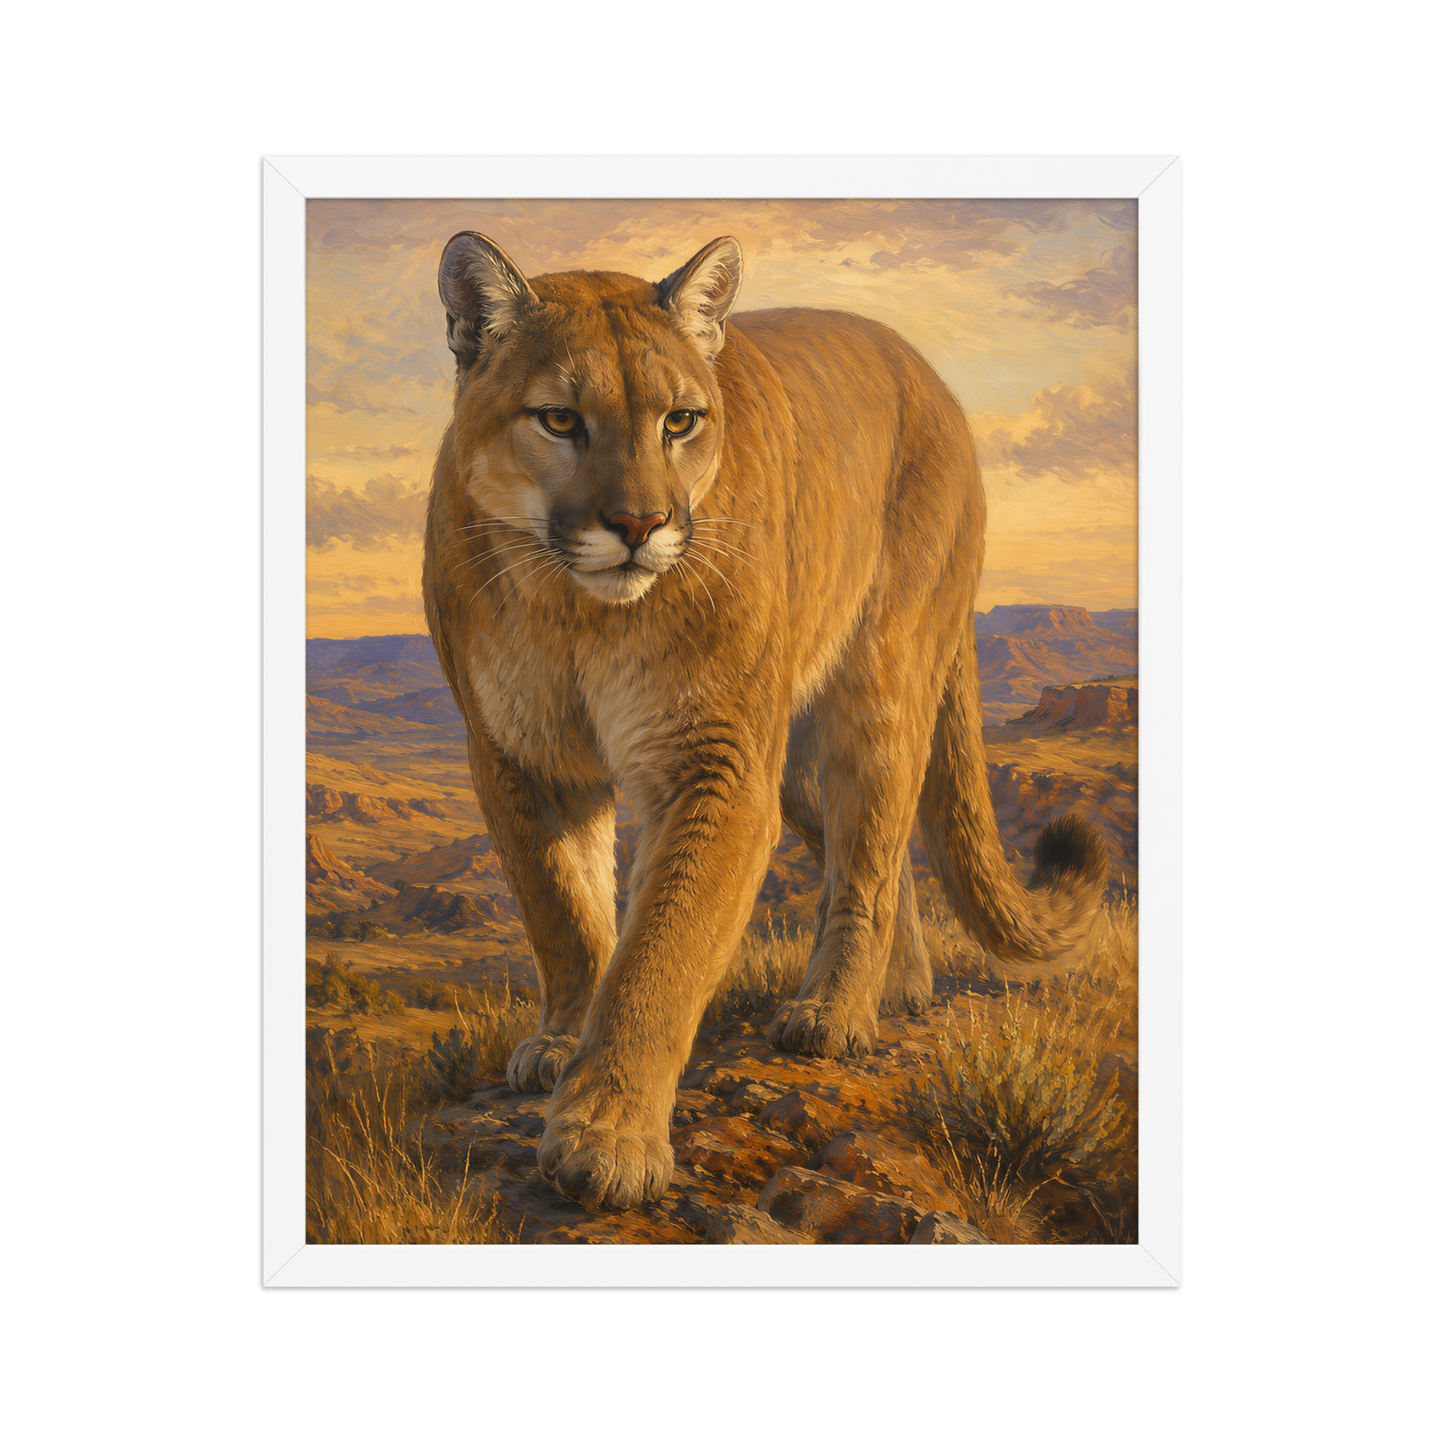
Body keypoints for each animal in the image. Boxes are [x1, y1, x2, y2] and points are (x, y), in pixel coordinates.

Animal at [422, 232, 1109, 1213]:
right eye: (557, 419)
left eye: (679, 421)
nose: (639, 522)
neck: (574, 608)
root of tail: (926, 371)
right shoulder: (518, 755)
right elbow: (563, 912)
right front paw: (561, 1042)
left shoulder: (715, 759)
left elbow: (663, 950)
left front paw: (607, 1138)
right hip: (791, 759)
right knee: (881, 852)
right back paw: (894, 988)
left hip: (878, 681)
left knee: (870, 852)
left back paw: (833, 1014)